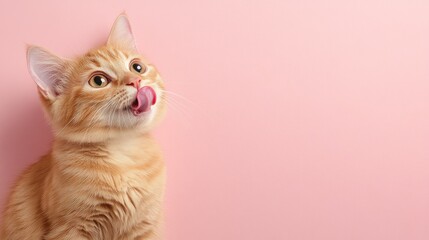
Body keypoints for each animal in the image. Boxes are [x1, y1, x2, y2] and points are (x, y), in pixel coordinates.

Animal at [0, 14, 166, 239]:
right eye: (98, 81)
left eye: (137, 67)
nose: (136, 81)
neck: (122, 154)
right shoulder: (71, 228)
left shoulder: (144, 226)